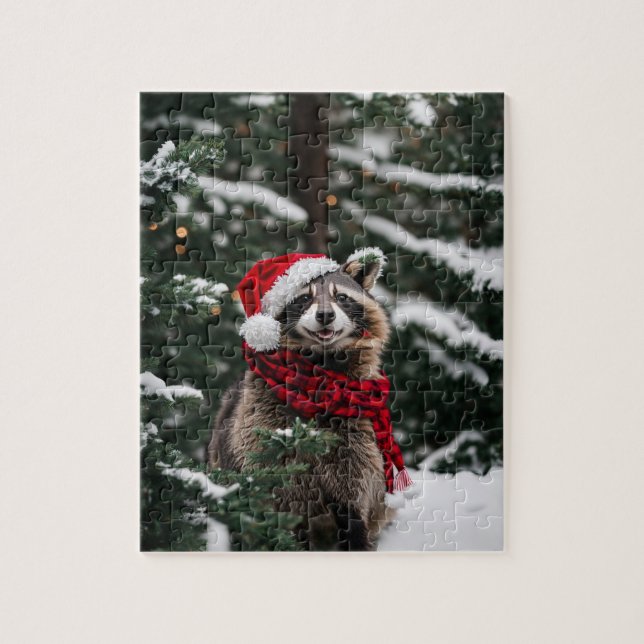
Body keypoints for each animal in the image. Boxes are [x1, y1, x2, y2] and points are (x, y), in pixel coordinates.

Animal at [208, 253, 391, 550]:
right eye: (304, 298)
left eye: (341, 297)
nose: (325, 315)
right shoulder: (265, 441)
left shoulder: (355, 438)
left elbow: (352, 504)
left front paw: (356, 537)